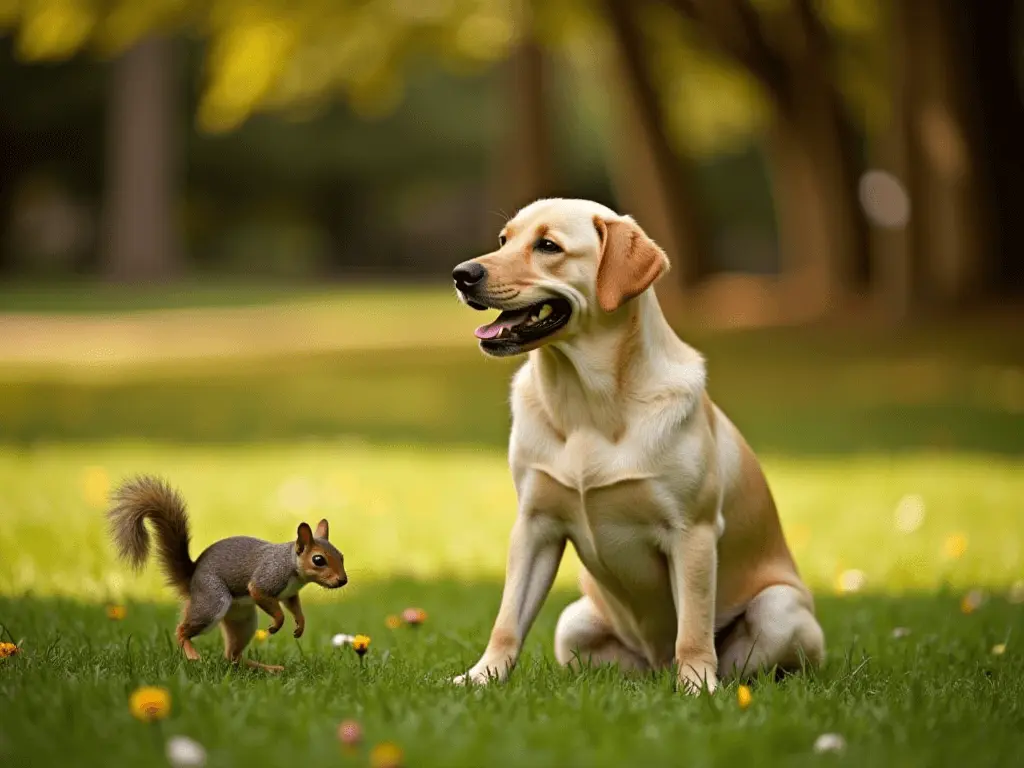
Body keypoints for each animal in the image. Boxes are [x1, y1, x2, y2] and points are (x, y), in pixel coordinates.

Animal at [107, 475, 348, 671]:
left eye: (341, 556)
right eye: (318, 560)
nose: (343, 580)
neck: (292, 567)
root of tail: (192, 579)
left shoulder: (289, 594)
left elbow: (295, 607)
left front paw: (300, 626)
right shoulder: (267, 578)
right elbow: (262, 595)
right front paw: (277, 624)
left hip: (243, 621)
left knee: (232, 656)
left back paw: (268, 669)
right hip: (213, 601)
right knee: (182, 631)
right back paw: (193, 655)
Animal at [448, 199, 823, 696]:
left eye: (548, 246)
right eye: (504, 240)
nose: (461, 274)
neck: (586, 405)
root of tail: (655, 663)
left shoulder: (692, 532)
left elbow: (694, 628)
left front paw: (698, 688)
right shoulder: (534, 526)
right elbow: (507, 621)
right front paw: (481, 677)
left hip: (778, 609)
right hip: (574, 622)